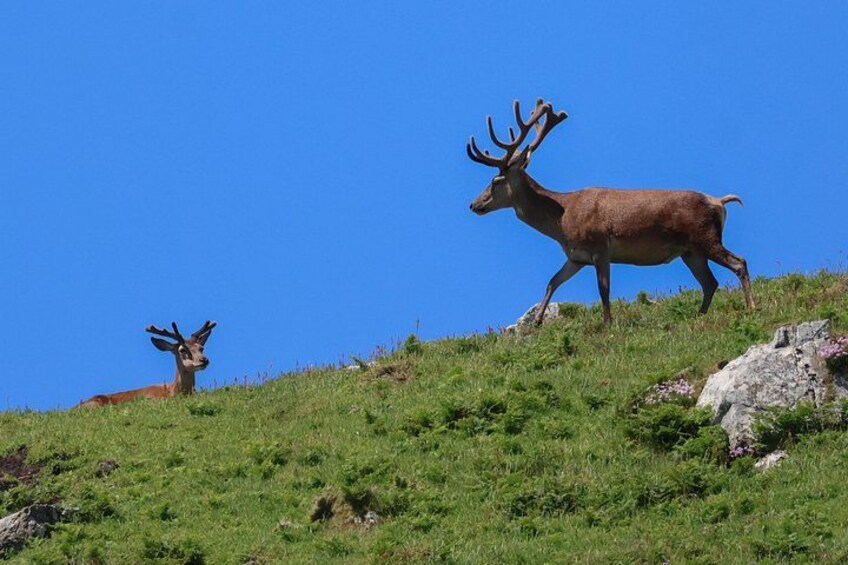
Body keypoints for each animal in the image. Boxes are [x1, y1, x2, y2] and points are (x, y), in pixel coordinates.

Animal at [466, 99, 755, 326]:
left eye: (496, 180)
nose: (474, 204)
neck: (561, 222)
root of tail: (719, 202)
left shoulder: (600, 246)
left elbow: (603, 289)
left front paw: (607, 324)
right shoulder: (576, 256)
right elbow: (553, 281)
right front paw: (535, 322)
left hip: (705, 238)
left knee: (739, 262)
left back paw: (751, 307)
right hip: (691, 251)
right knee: (710, 282)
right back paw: (699, 315)